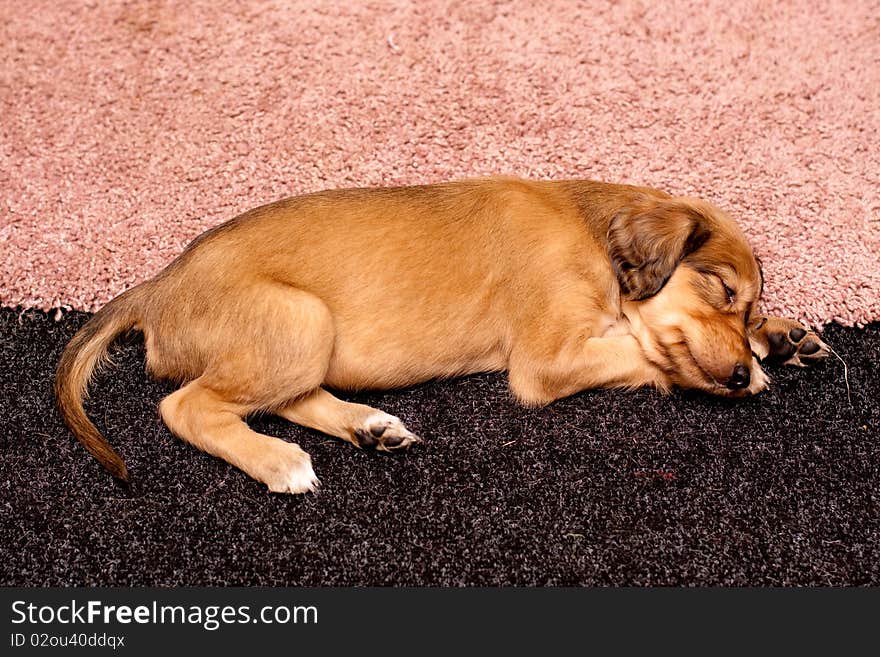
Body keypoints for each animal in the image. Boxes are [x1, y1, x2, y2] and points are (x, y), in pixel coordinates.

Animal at [53, 178, 824, 492]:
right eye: (723, 290)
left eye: (745, 304)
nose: (738, 377)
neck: (591, 232)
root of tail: (159, 285)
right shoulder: (547, 360)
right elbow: (647, 352)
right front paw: (762, 362)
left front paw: (780, 336)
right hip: (302, 321)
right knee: (187, 406)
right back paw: (279, 462)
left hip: (302, 342)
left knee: (282, 396)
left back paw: (368, 427)